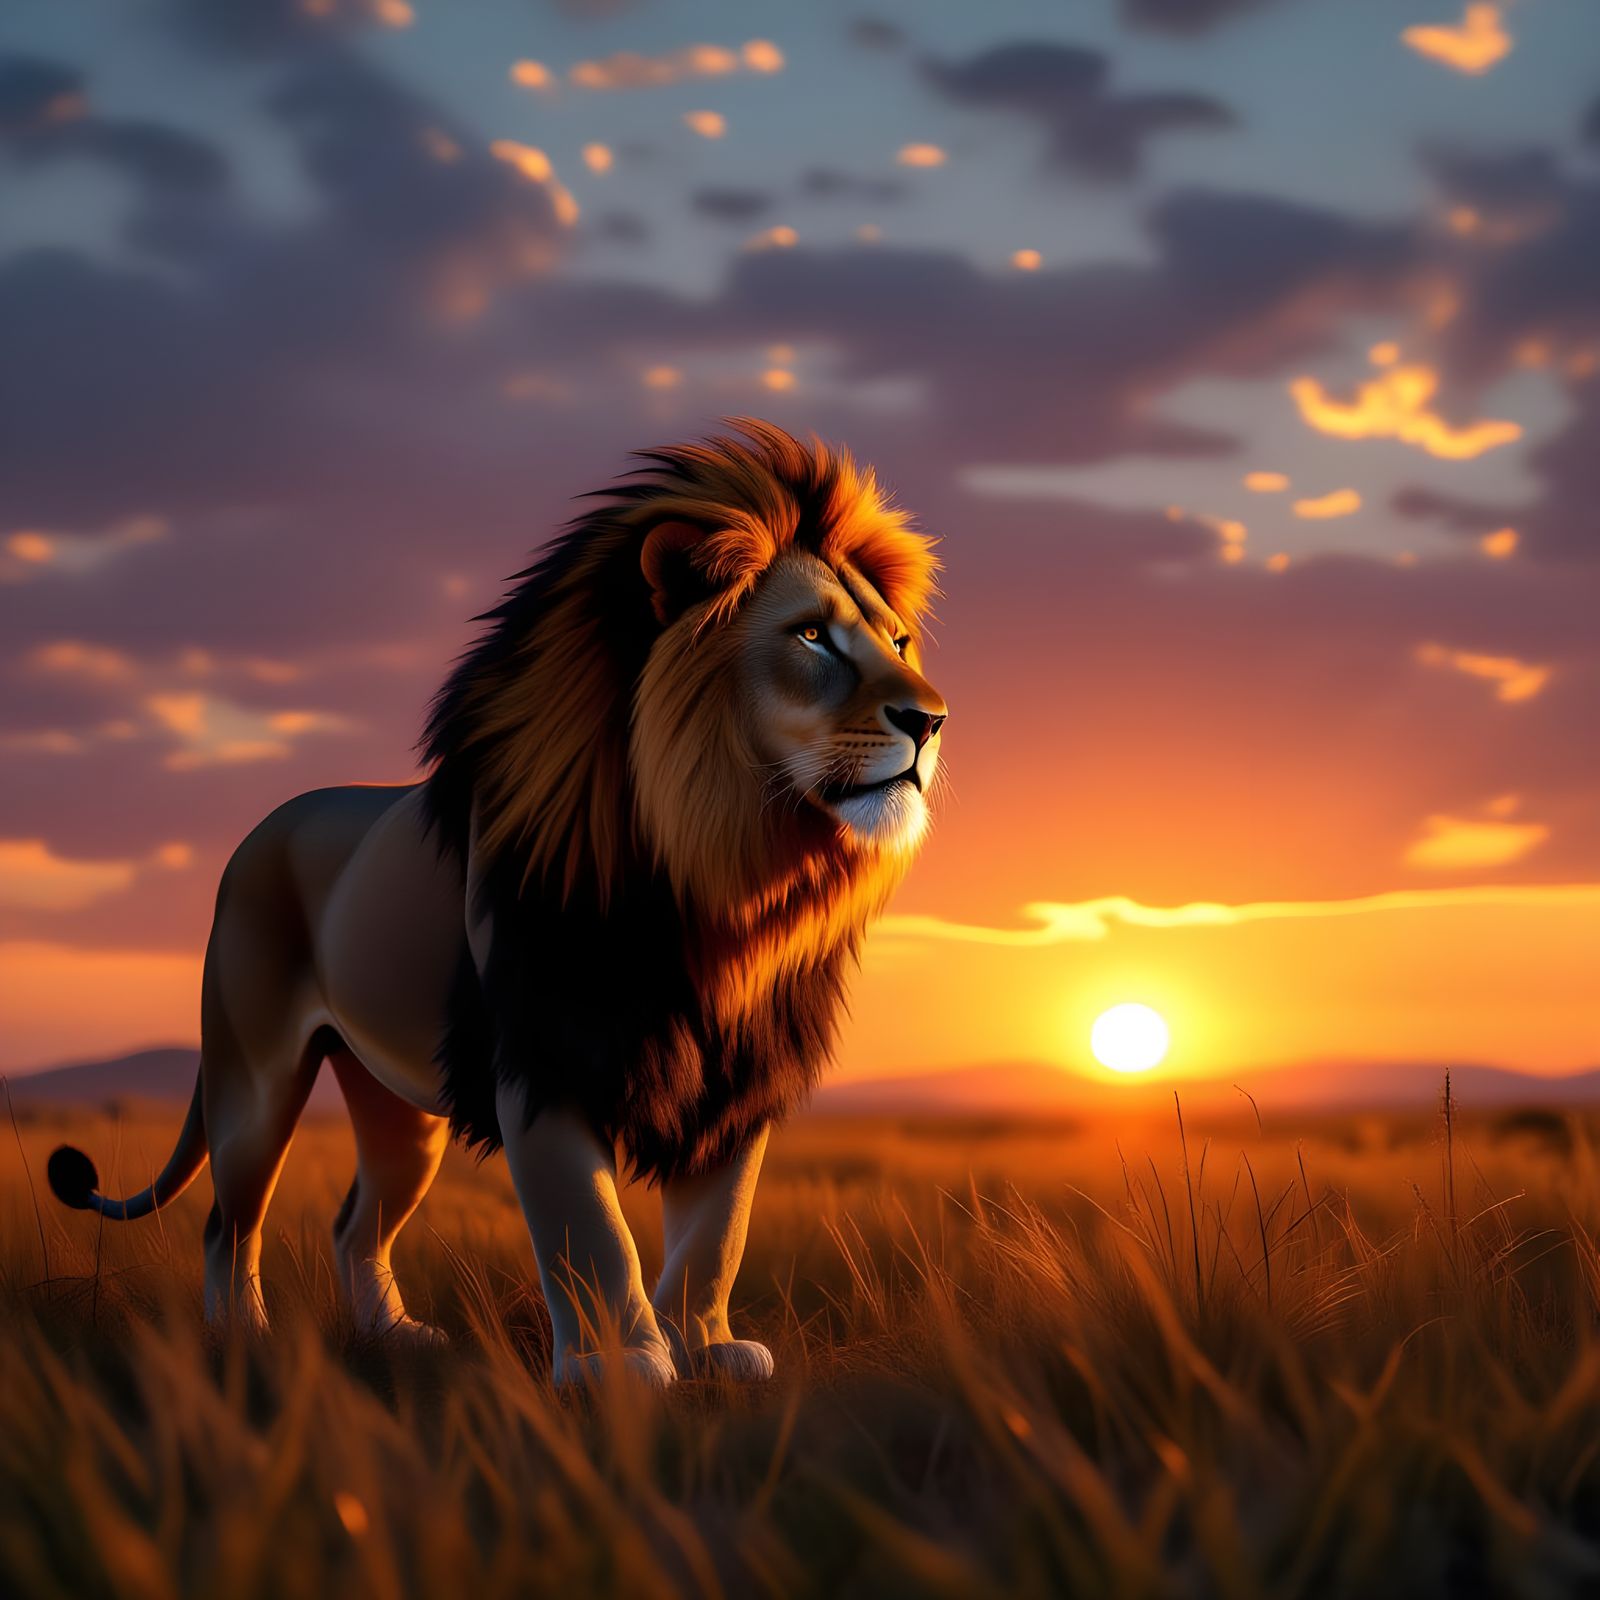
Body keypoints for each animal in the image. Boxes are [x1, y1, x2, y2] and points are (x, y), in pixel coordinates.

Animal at [47, 420, 947, 1386]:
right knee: (229, 1220)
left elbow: (718, 1232)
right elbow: (588, 1226)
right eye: (812, 635)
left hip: (397, 1107)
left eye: (899, 640)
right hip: (254, 1078)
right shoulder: (542, 1056)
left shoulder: (740, 1076)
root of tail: (264, 827)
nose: (931, 720)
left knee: (353, 1222)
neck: (723, 880)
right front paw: (618, 1366)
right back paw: (242, 1340)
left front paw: (703, 1347)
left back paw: (392, 1337)